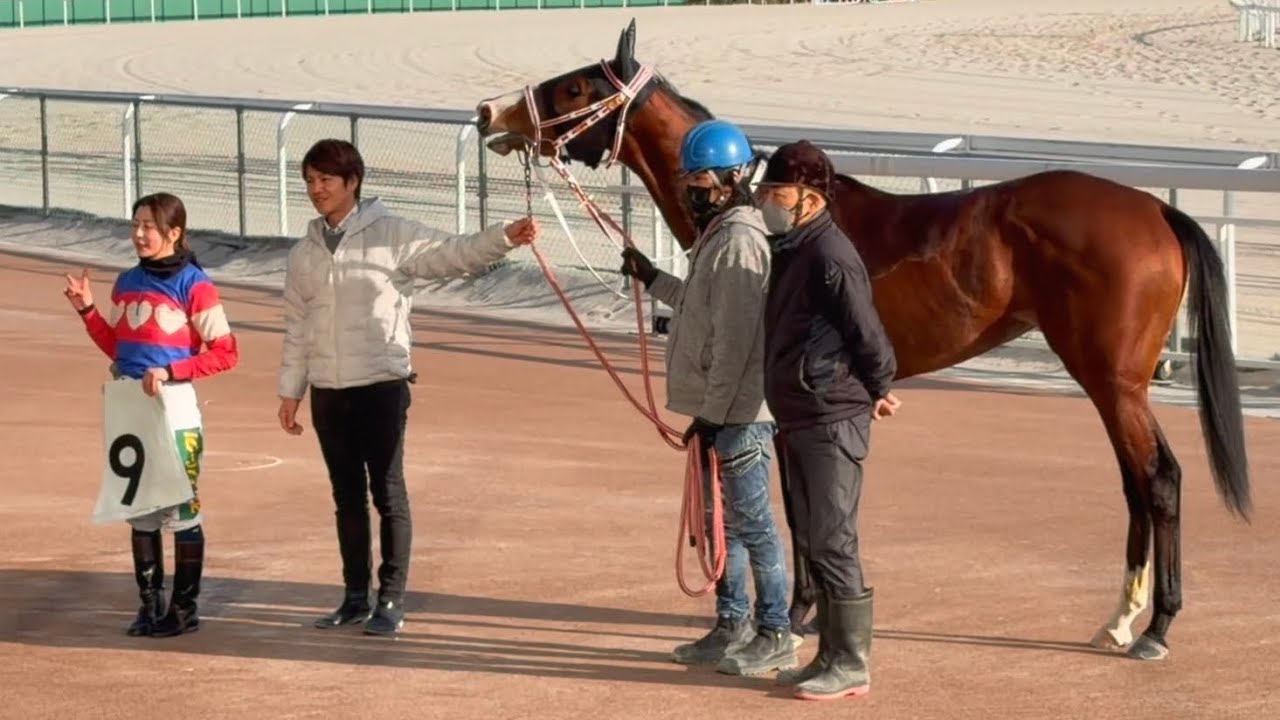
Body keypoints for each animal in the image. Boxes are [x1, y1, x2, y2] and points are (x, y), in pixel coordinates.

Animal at [472, 19, 1251, 662]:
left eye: (575, 84)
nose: (490, 114)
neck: (767, 217)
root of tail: (1153, 208)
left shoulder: (779, 404)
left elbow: (799, 508)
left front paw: (797, 613)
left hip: (1112, 380)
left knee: (1159, 479)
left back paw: (1155, 627)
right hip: (1112, 383)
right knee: (1134, 483)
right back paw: (1120, 619)